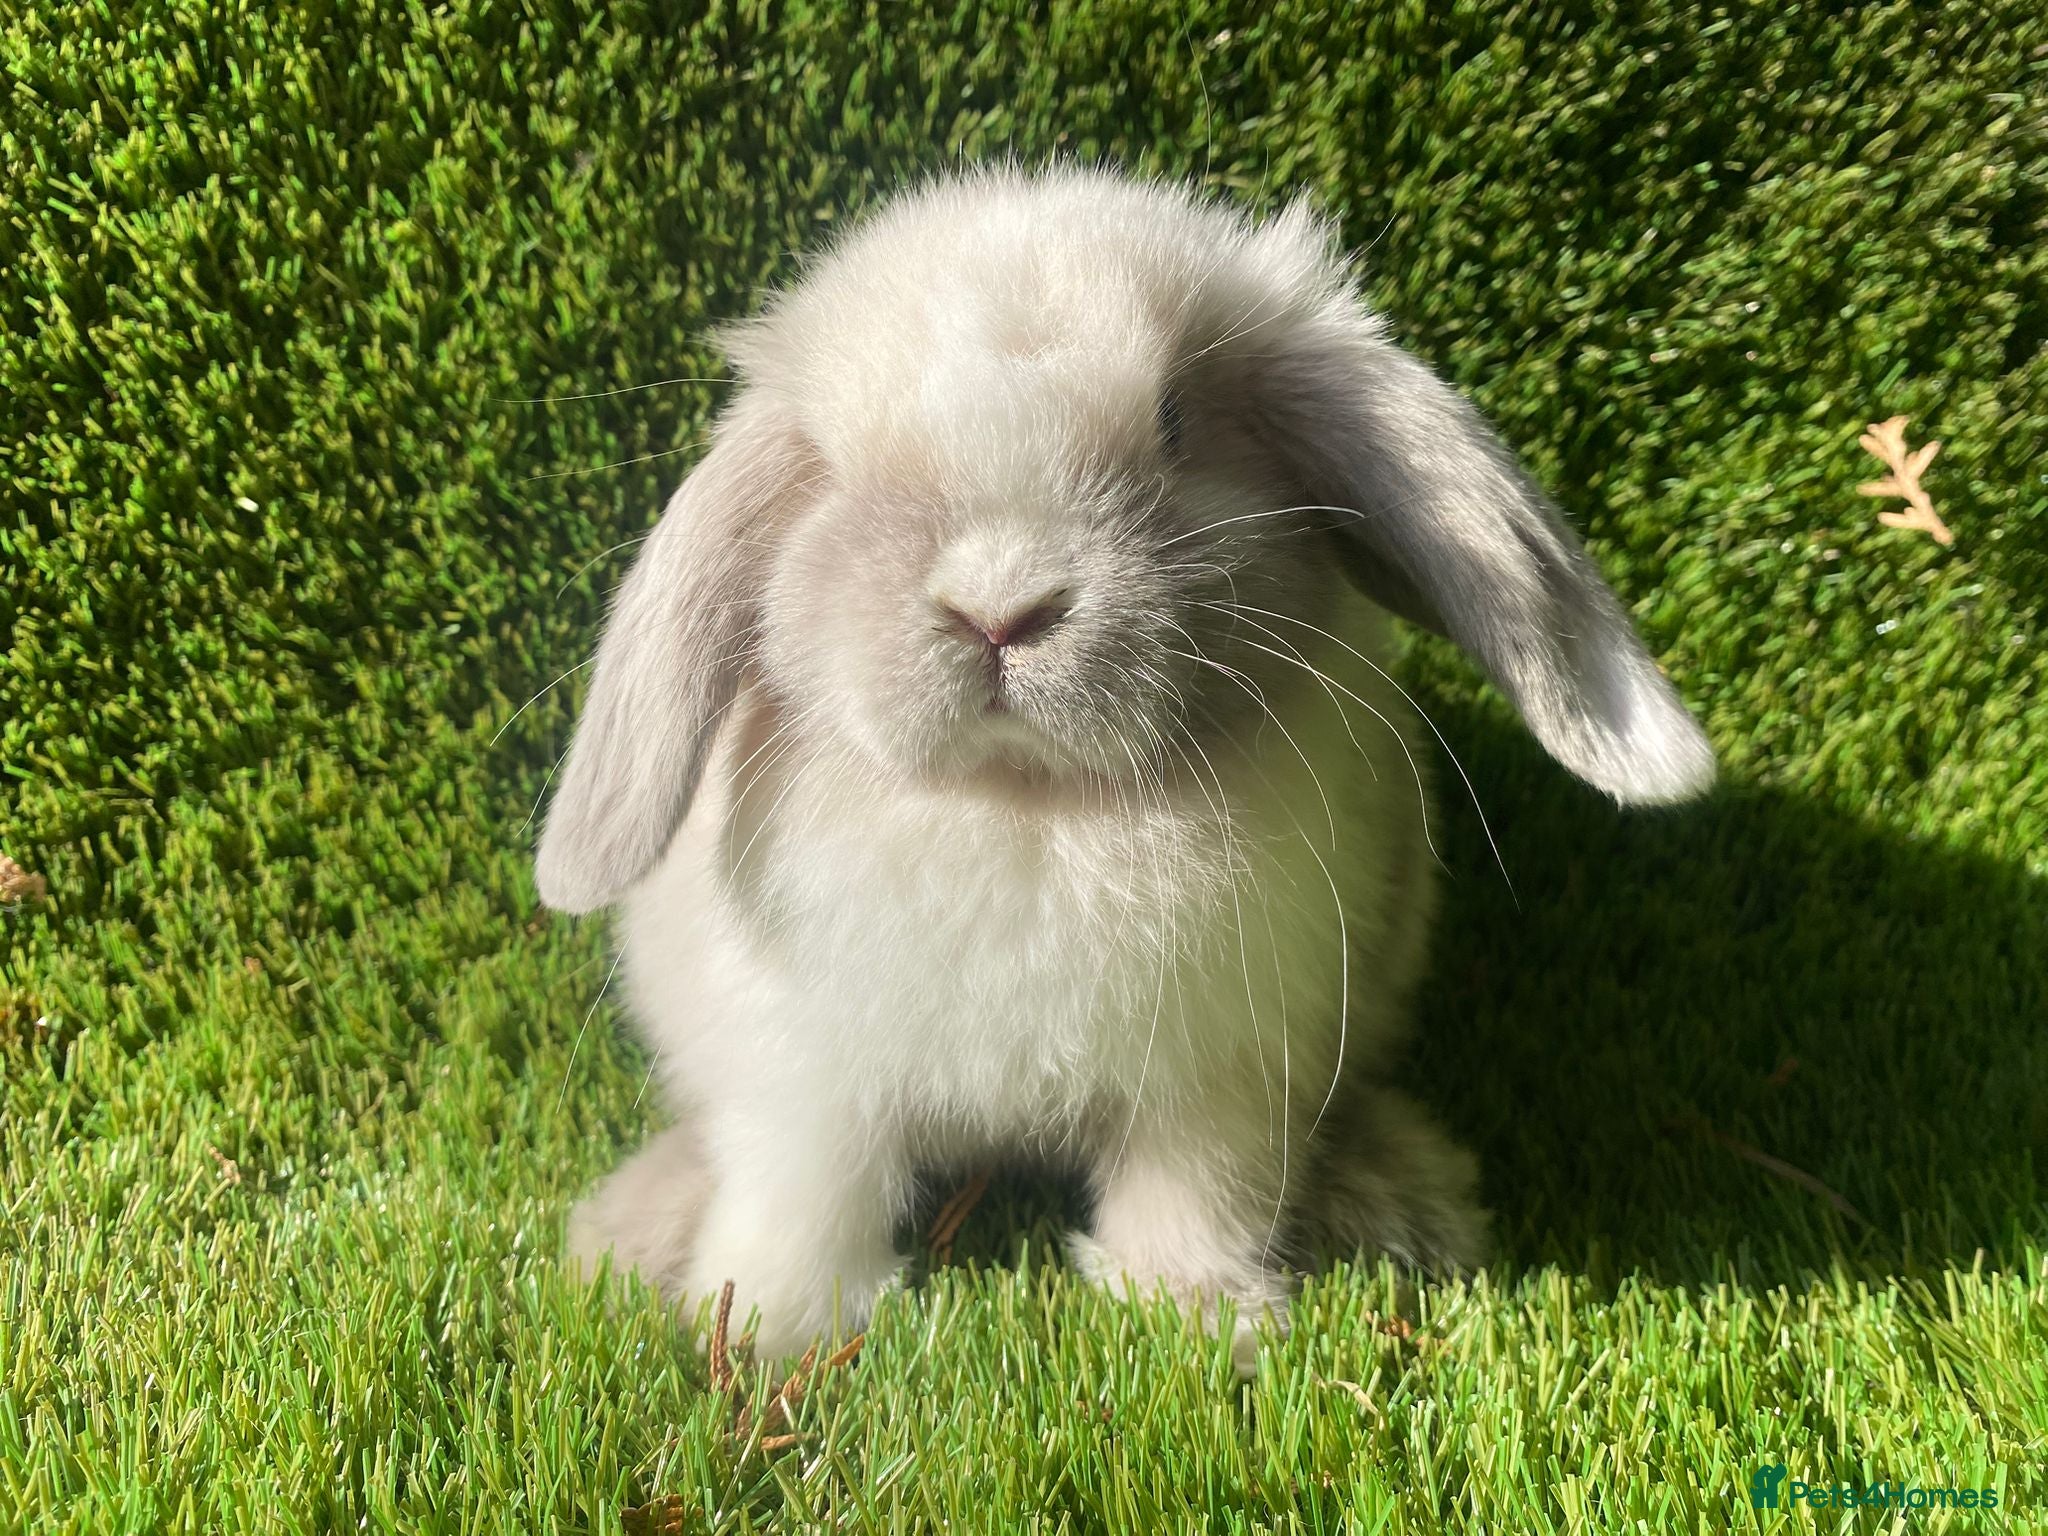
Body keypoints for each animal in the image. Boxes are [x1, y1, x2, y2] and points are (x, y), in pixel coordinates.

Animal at [537, 165, 1714, 1370]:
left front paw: (1197, 1319)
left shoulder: (1224, 1077)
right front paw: (764, 1329)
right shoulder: (803, 1084)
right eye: (830, 469)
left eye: (1175, 423)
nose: (999, 603)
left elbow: (1197, 1195)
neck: (1025, 801)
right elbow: (802, 1200)